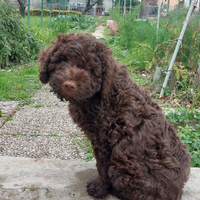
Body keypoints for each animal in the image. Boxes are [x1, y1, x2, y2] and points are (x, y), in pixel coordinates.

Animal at [38, 33, 191, 200]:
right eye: (62, 60)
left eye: (91, 69)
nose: (69, 85)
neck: (99, 96)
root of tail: (177, 192)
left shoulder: (104, 139)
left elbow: (102, 167)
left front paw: (99, 189)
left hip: (122, 166)